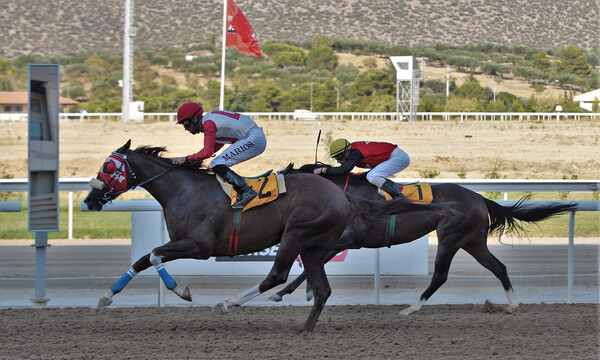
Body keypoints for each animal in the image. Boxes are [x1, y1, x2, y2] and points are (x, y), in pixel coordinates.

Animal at [83, 141, 450, 332]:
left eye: (108, 167)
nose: (88, 200)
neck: (184, 190)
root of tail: (341, 194)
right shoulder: (185, 244)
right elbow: (142, 259)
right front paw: (106, 297)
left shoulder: (198, 245)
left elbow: (155, 255)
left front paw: (182, 291)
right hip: (314, 246)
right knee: (321, 287)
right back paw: (304, 328)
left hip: (296, 234)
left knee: (277, 275)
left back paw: (228, 303)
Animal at [258, 166, 576, 316]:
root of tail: (479, 197)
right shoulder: (338, 241)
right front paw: (291, 292)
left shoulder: (344, 240)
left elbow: (309, 266)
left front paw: (285, 291)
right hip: (473, 241)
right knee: (499, 267)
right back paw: (512, 305)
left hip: (450, 237)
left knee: (440, 276)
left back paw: (411, 307)